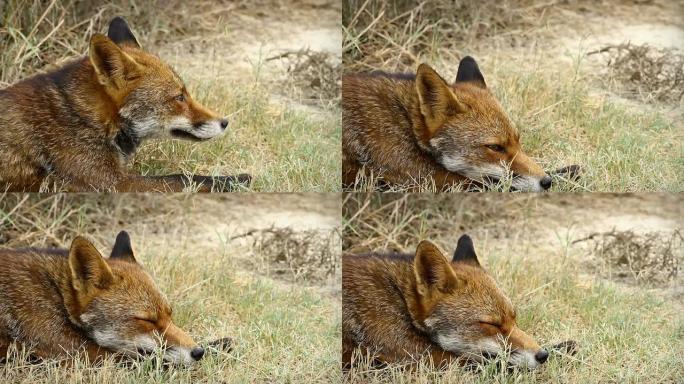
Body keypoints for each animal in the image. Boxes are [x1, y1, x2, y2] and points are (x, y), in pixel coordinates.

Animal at [0, 17, 250, 192]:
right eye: (179, 97)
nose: (225, 122)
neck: (87, 118)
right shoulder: (111, 184)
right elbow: (180, 178)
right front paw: (234, 181)